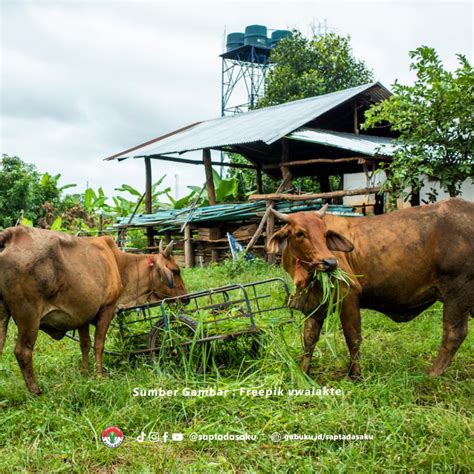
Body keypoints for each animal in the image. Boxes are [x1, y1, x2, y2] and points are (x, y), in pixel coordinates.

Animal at [0, 227, 188, 396]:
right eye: (175, 270)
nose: (186, 298)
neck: (119, 263)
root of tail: (12, 234)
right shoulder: (107, 309)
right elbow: (99, 344)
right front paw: (99, 374)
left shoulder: (81, 315)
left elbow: (85, 344)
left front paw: (85, 373)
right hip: (29, 316)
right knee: (22, 351)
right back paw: (35, 390)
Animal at [268, 198, 472, 380]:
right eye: (299, 233)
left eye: (325, 234)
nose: (330, 263)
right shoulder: (315, 305)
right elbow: (309, 339)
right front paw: (303, 373)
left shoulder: (348, 296)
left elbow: (353, 337)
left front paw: (355, 375)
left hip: (458, 292)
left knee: (453, 334)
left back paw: (432, 374)